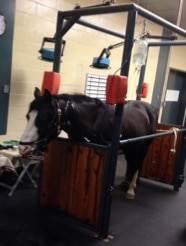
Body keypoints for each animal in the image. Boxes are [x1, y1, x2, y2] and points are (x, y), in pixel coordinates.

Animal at [18, 87, 158, 199]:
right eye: (28, 116)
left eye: (46, 116)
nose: (23, 147)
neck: (94, 121)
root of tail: (150, 108)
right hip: (132, 147)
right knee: (132, 162)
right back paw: (127, 182)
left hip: (144, 146)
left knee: (138, 163)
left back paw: (131, 189)